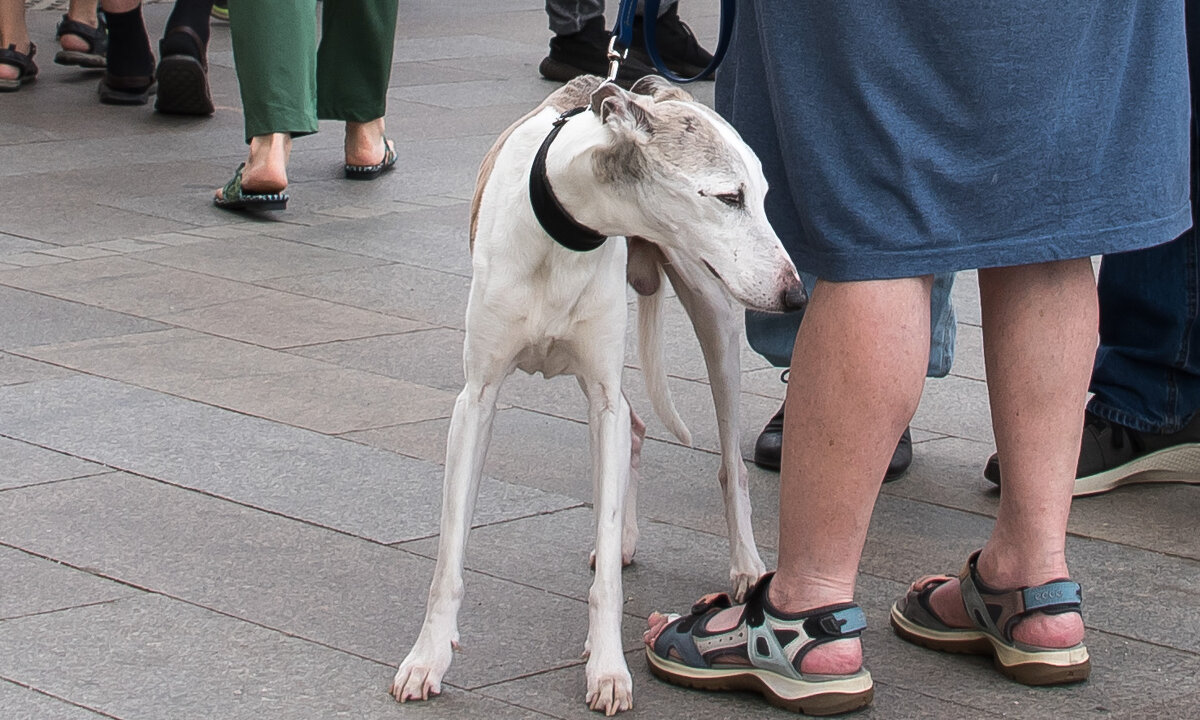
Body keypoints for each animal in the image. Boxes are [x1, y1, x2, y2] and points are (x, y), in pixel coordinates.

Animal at [393, 74, 806, 715]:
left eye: (763, 195)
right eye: (728, 197)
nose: (797, 295)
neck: (566, 224)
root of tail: (661, 88)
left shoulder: (602, 396)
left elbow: (605, 575)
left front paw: (608, 669)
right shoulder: (477, 399)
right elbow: (449, 554)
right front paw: (427, 658)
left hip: (714, 321)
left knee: (728, 463)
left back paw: (744, 564)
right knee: (634, 427)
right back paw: (631, 540)